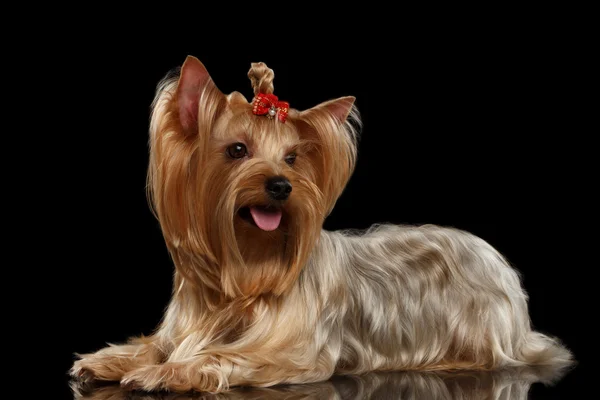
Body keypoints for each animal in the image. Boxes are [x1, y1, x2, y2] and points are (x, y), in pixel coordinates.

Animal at [70, 56, 572, 394]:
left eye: (293, 158)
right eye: (237, 150)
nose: (280, 185)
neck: (245, 270)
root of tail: (495, 260)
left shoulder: (288, 352)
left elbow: (222, 355)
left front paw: (167, 371)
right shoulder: (183, 326)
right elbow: (153, 344)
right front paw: (108, 361)